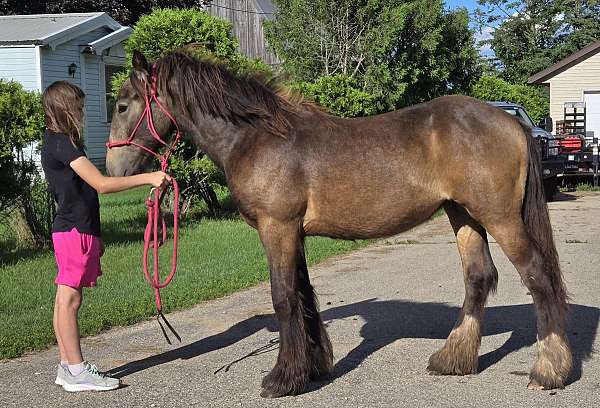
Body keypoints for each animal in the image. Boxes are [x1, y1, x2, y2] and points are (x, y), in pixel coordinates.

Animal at [105, 49, 576, 396]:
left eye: (124, 104)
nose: (113, 168)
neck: (257, 138)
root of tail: (512, 123)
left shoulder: (277, 228)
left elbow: (283, 299)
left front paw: (282, 379)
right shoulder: (293, 233)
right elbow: (304, 297)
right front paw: (311, 369)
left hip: (500, 217)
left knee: (538, 277)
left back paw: (548, 371)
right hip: (462, 215)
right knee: (479, 278)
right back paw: (452, 360)